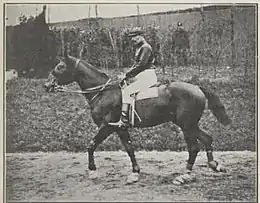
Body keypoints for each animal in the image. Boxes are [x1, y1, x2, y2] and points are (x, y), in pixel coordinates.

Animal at [43, 50, 231, 185]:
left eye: (60, 66)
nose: (46, 85)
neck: (103, 92)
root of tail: (197, 87)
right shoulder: (120, 128)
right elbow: (129, 148)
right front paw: (135, 172)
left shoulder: (107, 126)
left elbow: (91, 146)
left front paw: (93, 171)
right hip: (189, 125)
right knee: (207, 139)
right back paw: (214, 165)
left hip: (187, 126)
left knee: (193, 148)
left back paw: (185, 175)